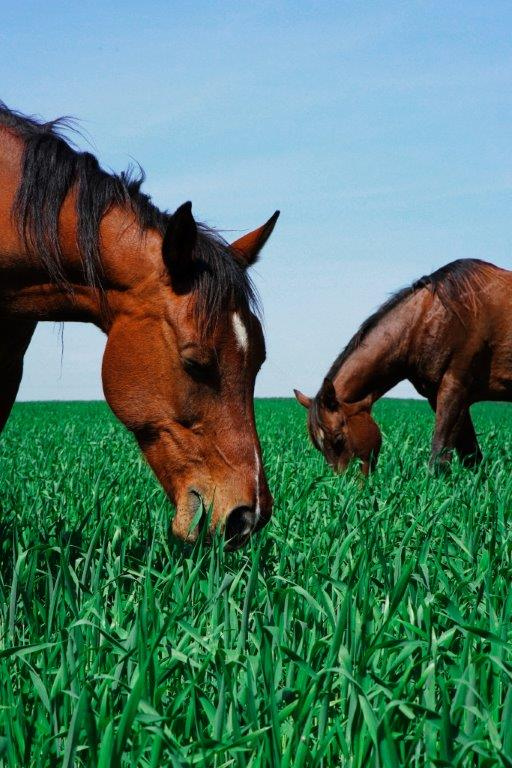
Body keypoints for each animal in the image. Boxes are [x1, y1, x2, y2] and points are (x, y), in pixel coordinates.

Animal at [294, 258, 512, 474]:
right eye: (318, 447)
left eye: (338, 439)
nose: (344, 483)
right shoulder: (441, 397)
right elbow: (471, 457)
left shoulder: (455, 390)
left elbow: (439, 456)